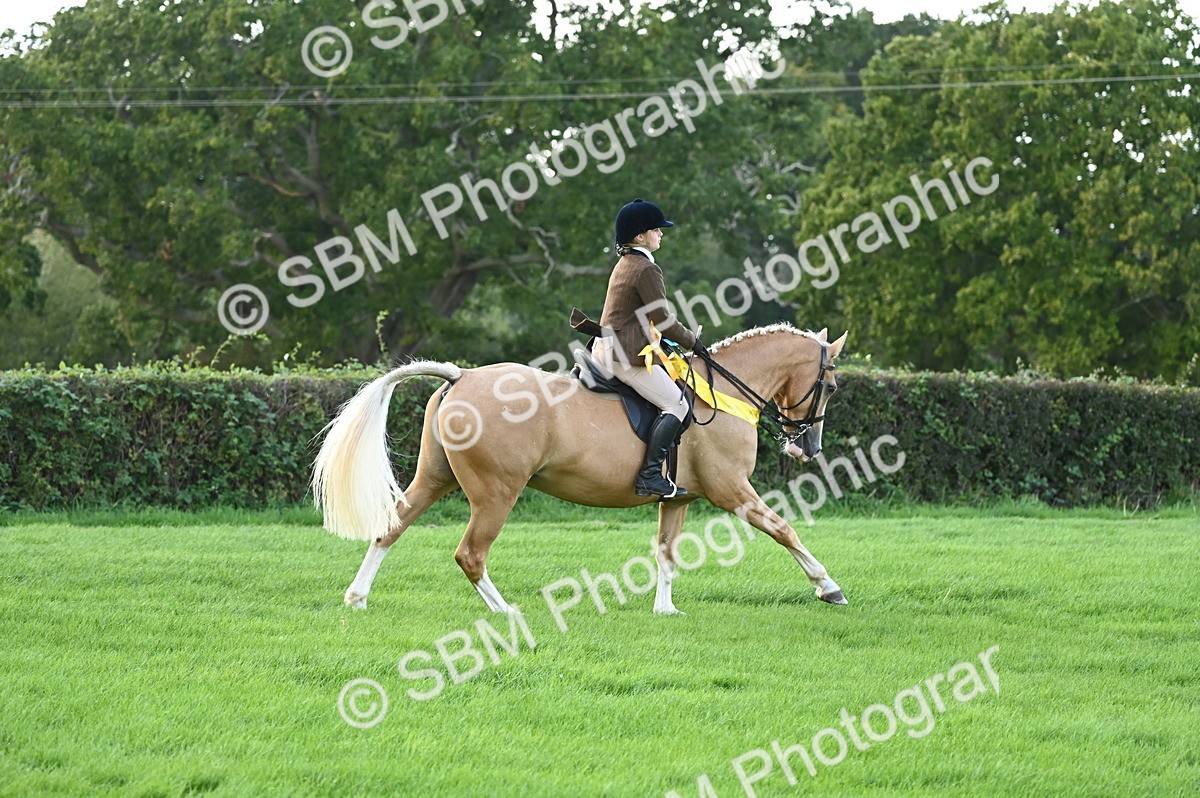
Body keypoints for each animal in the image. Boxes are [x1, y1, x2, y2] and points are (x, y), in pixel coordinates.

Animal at [311, 323, 849, 615]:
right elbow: (784, 530)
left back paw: (357, 597)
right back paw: (505, 611)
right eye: (831, 386)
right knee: (470, 554)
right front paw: (829, 587)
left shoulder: (678, 498)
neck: (723, 394)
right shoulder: (732, 490)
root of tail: (461, 376)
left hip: (435, 479)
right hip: (496, 493)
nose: (809, 448)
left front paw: (665, 608)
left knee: (391, 527)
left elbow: (666, 553)